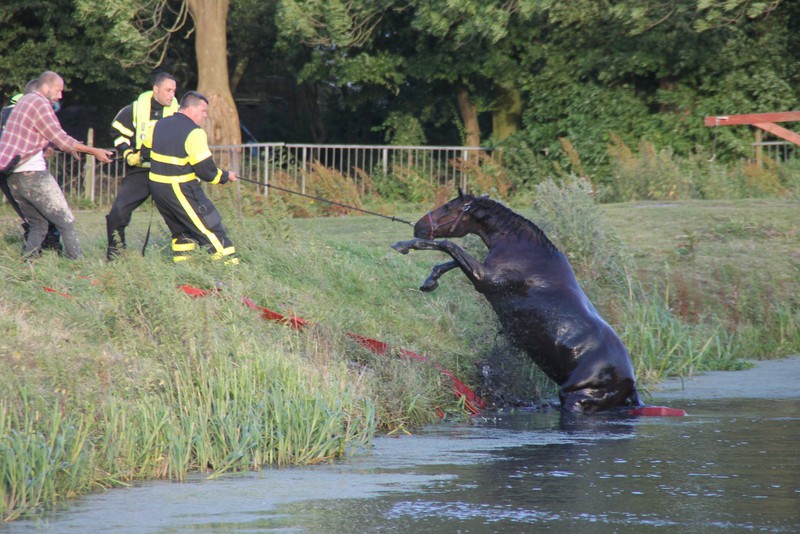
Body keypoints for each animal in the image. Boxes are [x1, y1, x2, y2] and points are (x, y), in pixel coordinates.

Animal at [390, 191, 648, 416]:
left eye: (447, 207)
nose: (418, 226)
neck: (522, 249)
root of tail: (630, 384)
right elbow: (450, 260)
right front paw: (429, 281)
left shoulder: (485, 279)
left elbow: (449, 246)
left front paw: (405, 244)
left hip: (577, 399)